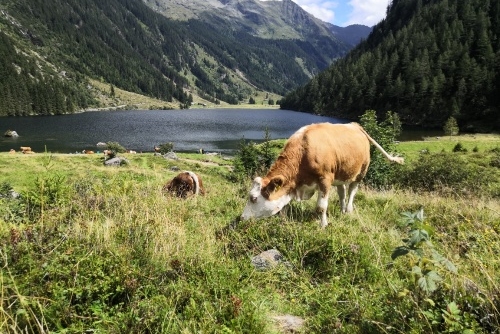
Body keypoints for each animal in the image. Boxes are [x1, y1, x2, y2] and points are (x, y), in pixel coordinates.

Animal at [240, 121, 404, 228]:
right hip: (340, 174)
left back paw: (348, 209)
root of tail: (355, 125)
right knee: (342, 191)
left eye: (253, 198)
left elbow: (321, 207)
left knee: (352, 190)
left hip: (361, 171)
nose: (241, 218)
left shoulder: (325, 179)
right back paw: (342, 210)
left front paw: (323, 225)